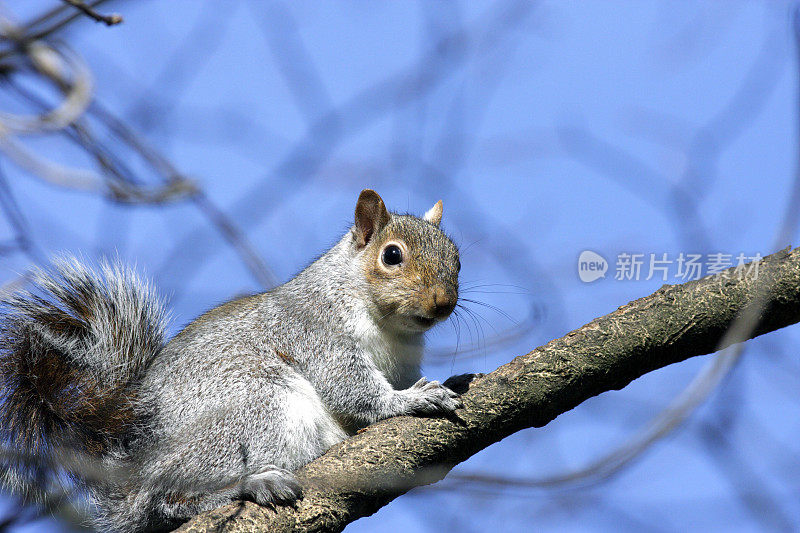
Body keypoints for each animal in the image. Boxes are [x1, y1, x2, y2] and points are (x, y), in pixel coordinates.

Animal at [1, 189, 476, 528]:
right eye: (392, 255)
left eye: (456, 258)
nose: (443, 303)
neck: (390, 328)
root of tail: (133, 474)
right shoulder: (317, 334)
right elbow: (354, 391)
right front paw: (410, 401)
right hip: (257, 406)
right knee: (168, 499)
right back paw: (249, 484)